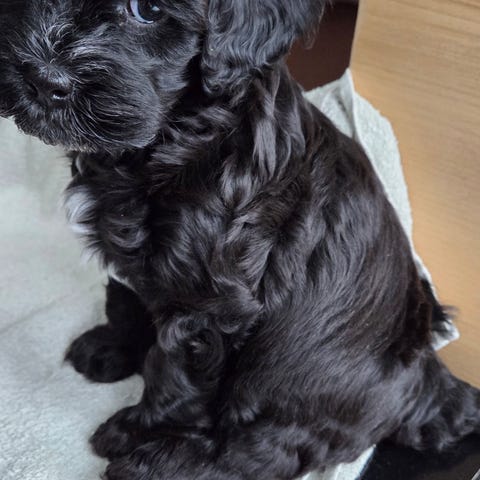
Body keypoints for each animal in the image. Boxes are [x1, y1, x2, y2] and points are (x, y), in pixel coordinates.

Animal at [1, 1, 479, 479]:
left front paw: (136, 431)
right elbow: (126, 298)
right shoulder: (135, 256)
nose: (44, 80)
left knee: (262, 451)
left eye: (147, 10)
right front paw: (111, 348)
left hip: (289, 374)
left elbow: (173, 373)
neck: (179, 135)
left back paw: (158, 464)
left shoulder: (207, 302)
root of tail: (429, 384)